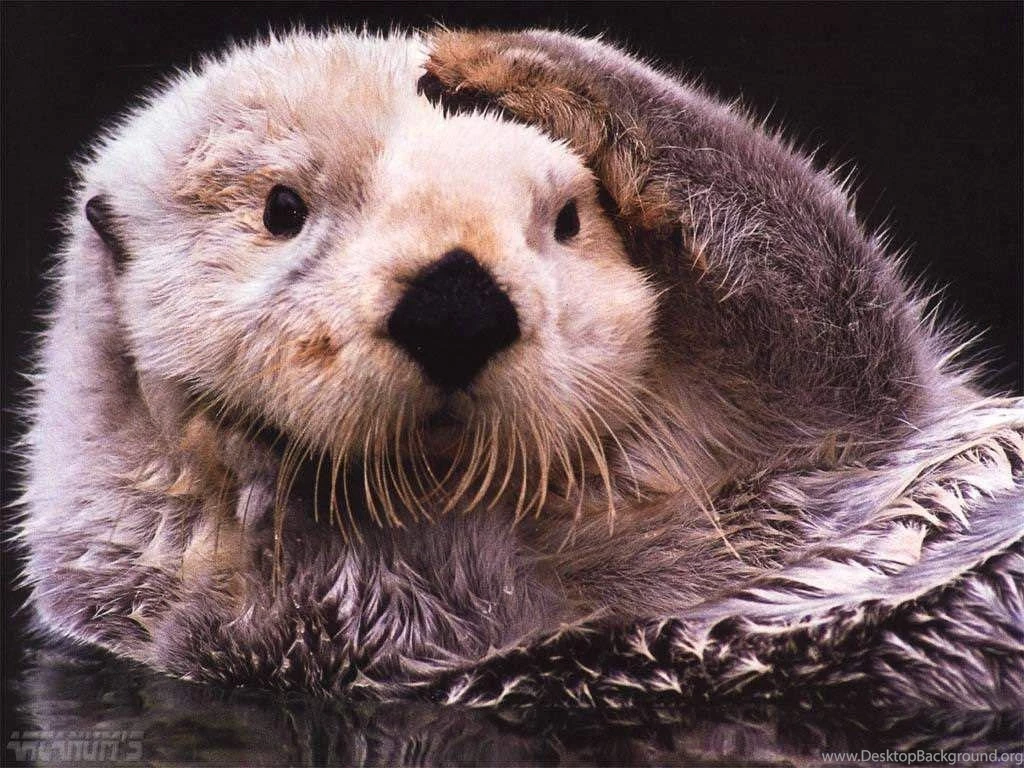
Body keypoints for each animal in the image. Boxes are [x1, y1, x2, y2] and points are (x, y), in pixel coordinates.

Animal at [17, 28, 1014, 699]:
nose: (456, 304)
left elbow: (826, 298)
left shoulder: (844, 440)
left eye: (568, 219)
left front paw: (505, 59)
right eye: (282, 208)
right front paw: (248, 459)